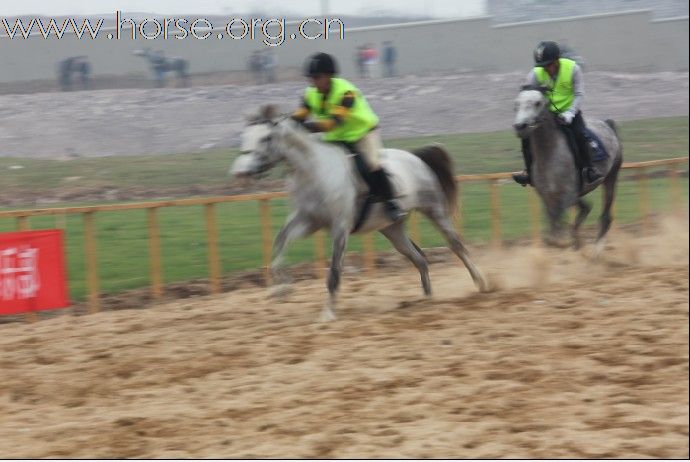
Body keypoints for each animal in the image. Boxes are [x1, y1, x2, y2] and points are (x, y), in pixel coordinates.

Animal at [234, 105, 486, 322]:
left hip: (434, 210)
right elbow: (279, 244)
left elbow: (334, 273)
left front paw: (328, 314)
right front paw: (281, 289)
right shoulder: (306, 222)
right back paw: (427, 299)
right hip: (392, 230)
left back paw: (481, 283)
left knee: (456, 246)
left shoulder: (340, 227)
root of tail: (416, 157)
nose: (242, 173)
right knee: (419, 259)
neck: (313, 171)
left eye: (265, 138)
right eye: (245, 136)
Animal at [510, 85, 624, 254]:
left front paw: (570, 244)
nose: (520, 127)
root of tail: (608, 124)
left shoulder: (567, 196)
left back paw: (596, 253)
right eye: (517, 103)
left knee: (605, 217)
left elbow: (560, 231)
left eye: (538, 103)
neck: (549, 155)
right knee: (586, 209)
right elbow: (553, 232)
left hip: (611, 177)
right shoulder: (547, 197)